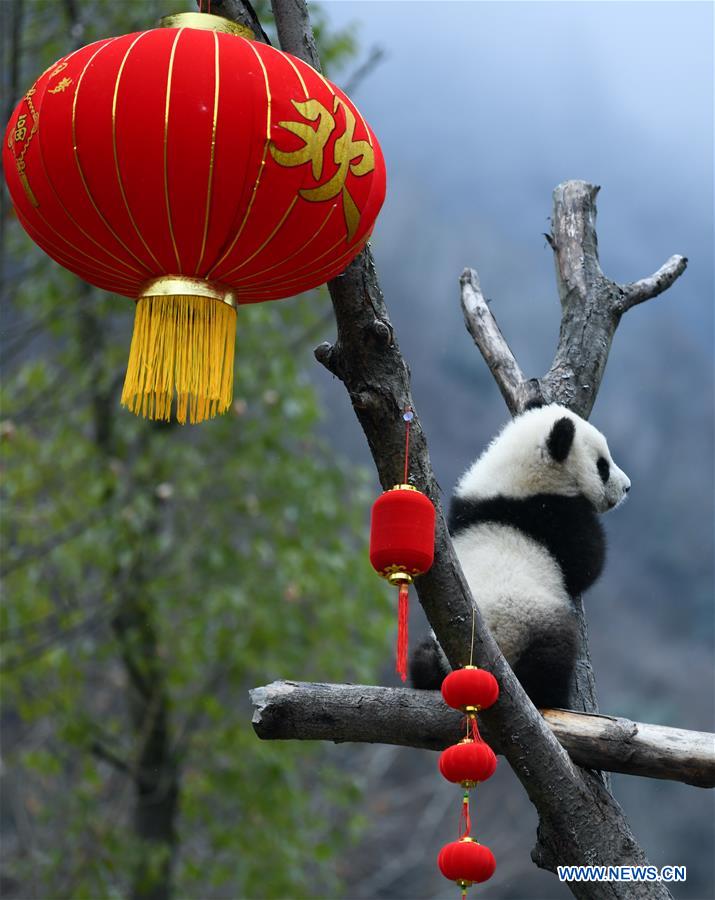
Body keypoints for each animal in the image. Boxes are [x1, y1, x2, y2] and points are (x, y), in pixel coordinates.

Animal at [410, 403, 631, 709]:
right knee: (551, 658)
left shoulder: (461, 509)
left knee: (422, 659)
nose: (627, 487)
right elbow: (586, 562)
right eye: (603, 465)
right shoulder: (550, 517)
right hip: (529, 620)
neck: (512, 480)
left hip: (438, 645)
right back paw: (550, 696)